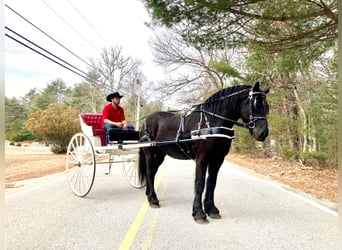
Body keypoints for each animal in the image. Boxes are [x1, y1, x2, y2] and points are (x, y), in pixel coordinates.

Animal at [138, 81, 268, 223]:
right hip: (150, 153)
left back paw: (149, 196)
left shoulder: (218, 159)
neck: (211, 123)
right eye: (255, 104)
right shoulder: (202, 158)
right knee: (149, 172)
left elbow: (211, 183)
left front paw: (212, 209)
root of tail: (146, 120)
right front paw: (199, 213)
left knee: (152, 172)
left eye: (266, 106)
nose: (263, 133)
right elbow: (200, 183)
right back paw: (153, 200)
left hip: (161, 154)